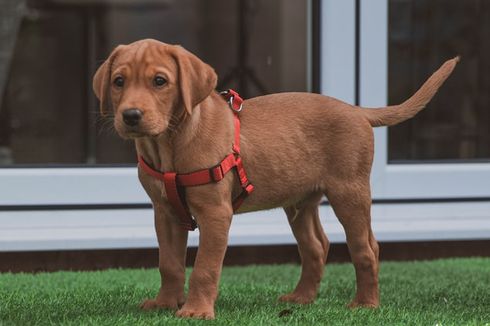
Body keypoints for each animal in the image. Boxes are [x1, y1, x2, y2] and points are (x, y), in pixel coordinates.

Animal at [93, 38, 460, 318]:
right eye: (119, 82)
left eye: (160, 81)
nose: (131, 116)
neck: (170, 144)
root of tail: (357, 111)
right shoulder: (165, 213)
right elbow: (169, 263)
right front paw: (166, 303)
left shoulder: (215, 214)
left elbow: (205, 267)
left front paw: (196, 310)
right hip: (300, 202)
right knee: (316, 246)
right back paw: (302, 298)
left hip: (350, 194)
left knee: (366, 248)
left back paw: (366, 303)